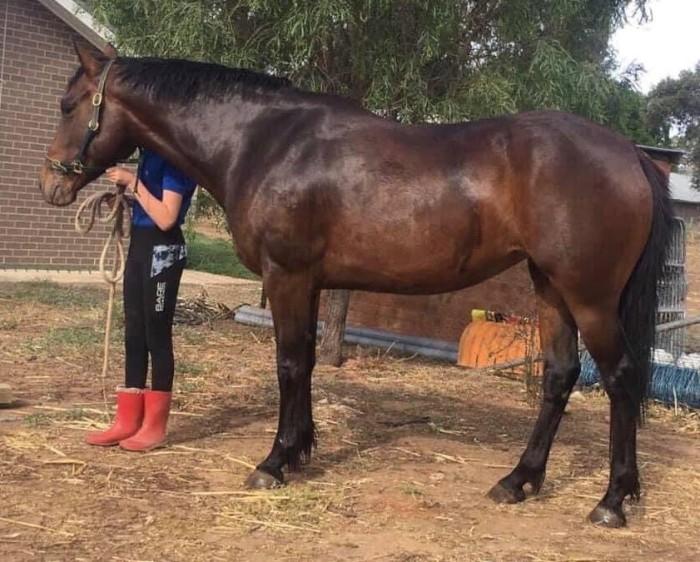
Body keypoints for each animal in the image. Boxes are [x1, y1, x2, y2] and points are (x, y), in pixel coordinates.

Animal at [40, 41, 673, 528]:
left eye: (68, 105)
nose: (51, 185)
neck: (264, 141)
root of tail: (631, 155)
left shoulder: (288, 276)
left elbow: (289, 363)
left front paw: (273, 463)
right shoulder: (310, 283)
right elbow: (305, 362)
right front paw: (300, 451)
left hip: (590, 298)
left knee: (621, 378)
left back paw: (612, 501)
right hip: (550, 289)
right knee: (560, 375)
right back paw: (518, 480)